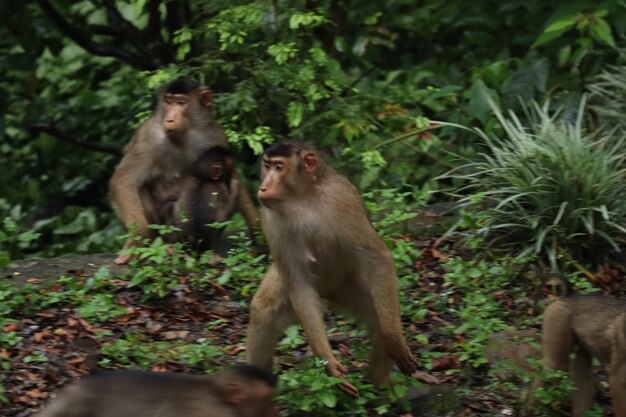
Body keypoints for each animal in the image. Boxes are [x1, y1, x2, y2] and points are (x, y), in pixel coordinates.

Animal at [108, 78, 258, 264]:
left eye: (181, 102)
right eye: (168, 101)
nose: (170, 119)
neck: (185, 133)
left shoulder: (214, 133)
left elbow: (231, 176)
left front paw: (257, 228)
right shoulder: (148, 138)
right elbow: (123, 181)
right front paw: (138, 239)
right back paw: (168, 245)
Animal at [246, 141, 416, 396]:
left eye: (279, 167)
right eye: (266, 166)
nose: (263, 187)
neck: (302, 198)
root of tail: (331, 296)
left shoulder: (340, 198)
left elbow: (377, 258)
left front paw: (394, 340)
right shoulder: (270, 217)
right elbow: (298, 282)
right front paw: (328, 361)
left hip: (352, 286)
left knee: (379, 312)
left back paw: (380, 381)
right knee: (263, 308)